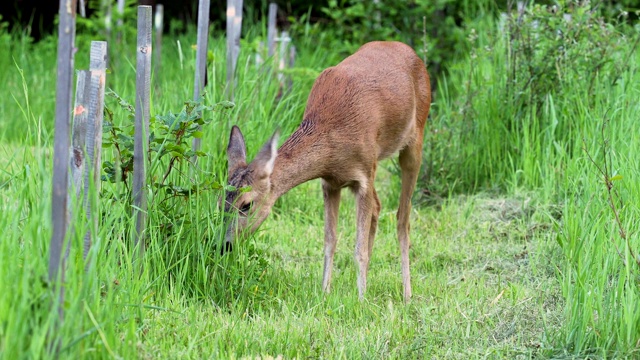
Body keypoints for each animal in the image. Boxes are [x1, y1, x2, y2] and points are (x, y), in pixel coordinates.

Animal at [224, 40, 430, 302]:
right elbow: (330, 239)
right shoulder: (330, 181)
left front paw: (361, 301)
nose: (224, 245)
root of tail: (410, 51)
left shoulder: (364, 174)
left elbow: (359, 248)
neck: (331, 138)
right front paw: (325, 292)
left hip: (414, 141)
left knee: (403, 218)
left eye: (246, 204)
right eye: (220, 200)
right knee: (378, 206)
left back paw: (407, 294)